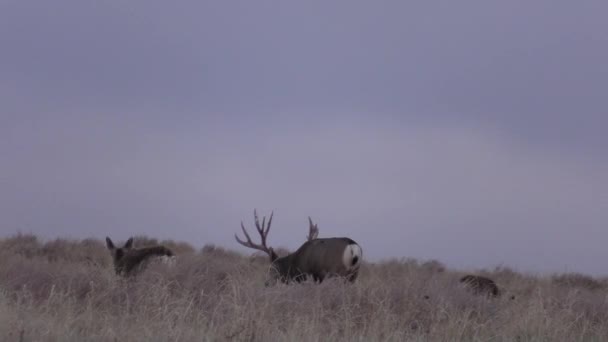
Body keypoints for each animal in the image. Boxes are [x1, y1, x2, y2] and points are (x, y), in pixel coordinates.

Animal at [235, 210, 364, 284]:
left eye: (271, 268)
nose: (266, 283)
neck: (295, 262)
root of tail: (353, 247)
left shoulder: (307, 275)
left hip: (336, 272)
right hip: (354, 274)